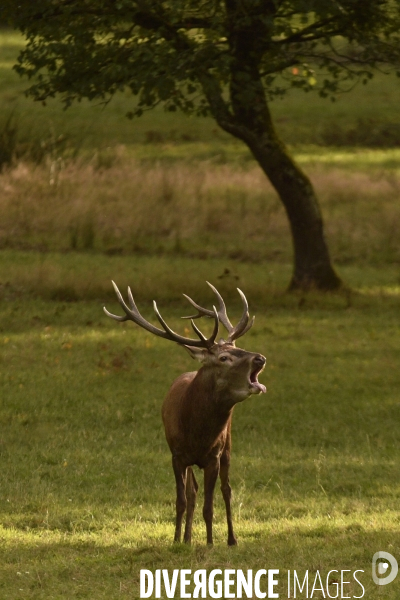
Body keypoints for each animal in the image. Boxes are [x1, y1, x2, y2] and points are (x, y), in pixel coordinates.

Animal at [103, 282, 266, 544]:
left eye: (238, 347)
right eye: (224, 357)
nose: (260, 358)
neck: (197, 433)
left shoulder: (213, 456)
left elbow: (209, 506)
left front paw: (210, 543)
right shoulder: (177, 454)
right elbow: (181, 499)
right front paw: (177, 540)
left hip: (228, 446)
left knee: (226, 490)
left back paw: (231, 539)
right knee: (193, 491)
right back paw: (187, 538)